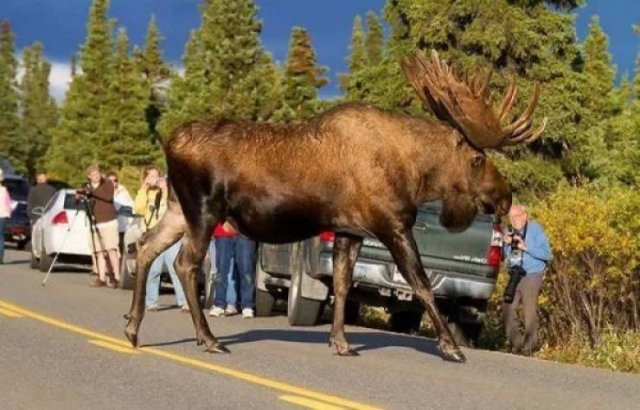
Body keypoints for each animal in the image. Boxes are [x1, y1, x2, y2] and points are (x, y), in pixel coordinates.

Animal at [125, 50, 544, 362]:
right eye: (477, 159)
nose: (504, 197)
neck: (415, 173)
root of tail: (170, 143)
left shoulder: (349, 230)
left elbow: (343, 286)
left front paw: (341, 342)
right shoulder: (392, 223)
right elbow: (421, 284)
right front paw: (451, 346)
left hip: (179, 209)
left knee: (145, 245)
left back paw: (132, 327)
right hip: (205, 209)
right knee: (185, 263)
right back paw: (207, 339)